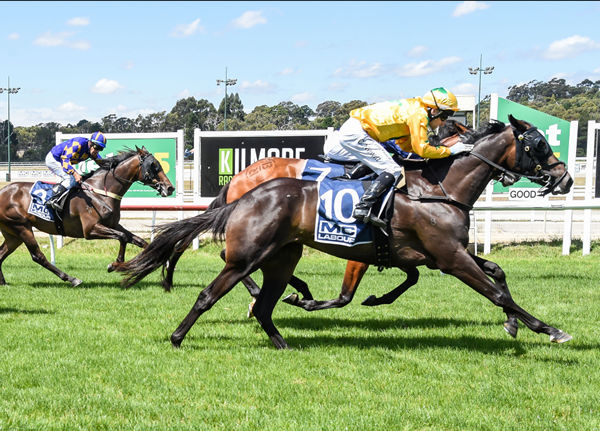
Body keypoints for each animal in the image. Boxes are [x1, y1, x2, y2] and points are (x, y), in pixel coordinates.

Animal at [0, 147, 173, 288]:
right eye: (153, 166)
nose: (170, 188)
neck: (101, 192)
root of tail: (3, 191)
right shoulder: (90, 230)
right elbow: (122, 237)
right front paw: (114, 264)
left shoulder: (113, 225)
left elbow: (140, 241)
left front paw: (162, 262)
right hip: (21, 227)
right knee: (38, 256)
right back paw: (71, 279)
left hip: (13, 233)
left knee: (2, 253)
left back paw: (3, 282)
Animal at [117, 115, 572, 352]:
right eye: (538, 144)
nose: (565, 178)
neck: (438, 189)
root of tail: (243, 194)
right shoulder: (449, 258)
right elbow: (495, 291)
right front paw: (548, 329)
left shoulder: (442, 254)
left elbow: (496, 272)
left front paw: (514, 324)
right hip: (248, 256)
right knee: (212, 294)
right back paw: (178, 337)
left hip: (281, 257)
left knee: (264, 305)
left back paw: (283, 336)